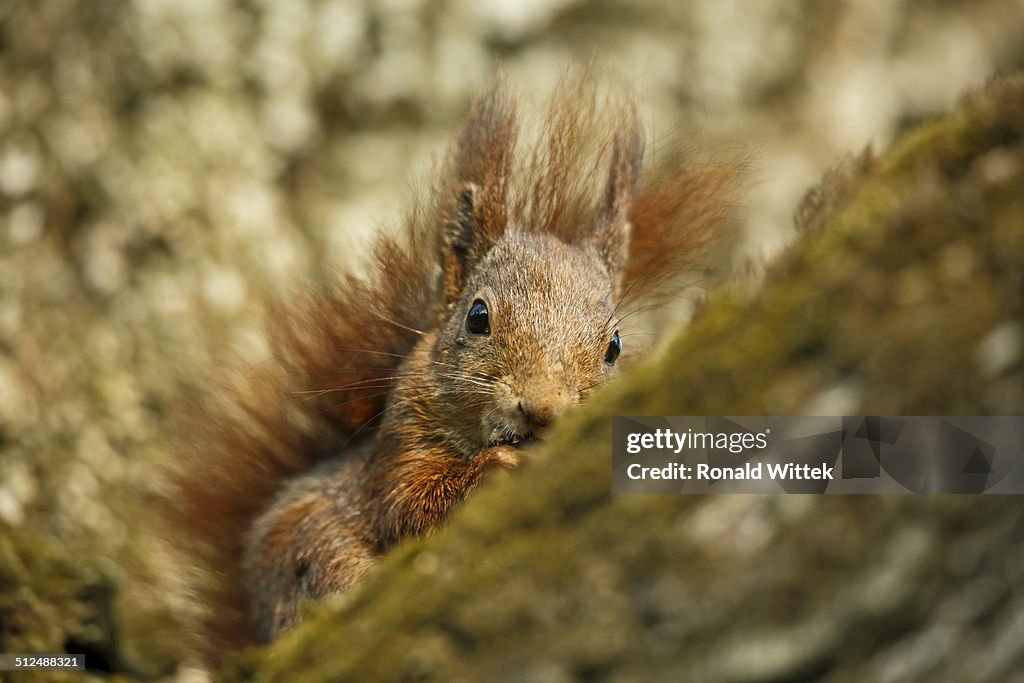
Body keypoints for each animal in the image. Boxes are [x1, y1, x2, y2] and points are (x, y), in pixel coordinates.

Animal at [169, 77, 745, 659]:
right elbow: (406, 509)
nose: (543, 409)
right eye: (477, 316)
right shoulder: (396, 453)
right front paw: (492, 468)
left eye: (615, 347)